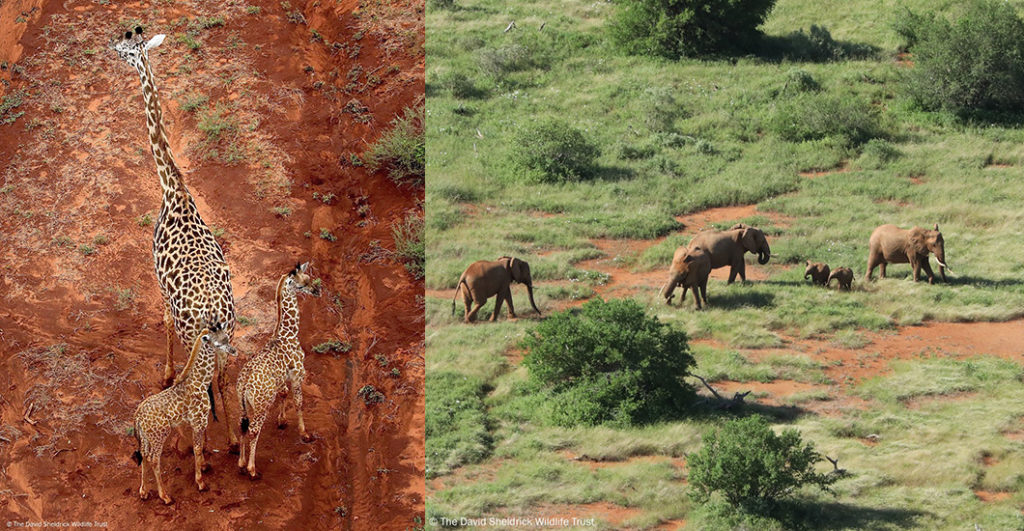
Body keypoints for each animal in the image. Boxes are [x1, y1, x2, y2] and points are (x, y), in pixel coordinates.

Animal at [131, 321, 234, 505]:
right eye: (217, 343)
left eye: (226, 338)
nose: (232, 351)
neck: (200, 381)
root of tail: (137, 418)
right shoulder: (199, 421)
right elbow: (198, 448)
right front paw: (201, 482)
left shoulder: (193, 422)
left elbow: (197, 447)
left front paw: (203, 468)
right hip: (159, 436)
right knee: (154, 459)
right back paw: (165, 496)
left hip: (146, 438)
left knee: (143, 455)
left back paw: (143, 492)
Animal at [237, 263, 317, 480]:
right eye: (303, 282)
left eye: (308, 278)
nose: (316, 289)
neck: (288, 333)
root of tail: (244, 384)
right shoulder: (298, 373)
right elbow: (298, 401)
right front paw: (305, 434)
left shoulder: (283, 378)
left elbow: (284, 393)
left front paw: (282, 421)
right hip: (262, 405)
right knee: (253, 429)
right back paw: (252, 469)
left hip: (244, 405)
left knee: (242, 425)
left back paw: (241, 463)